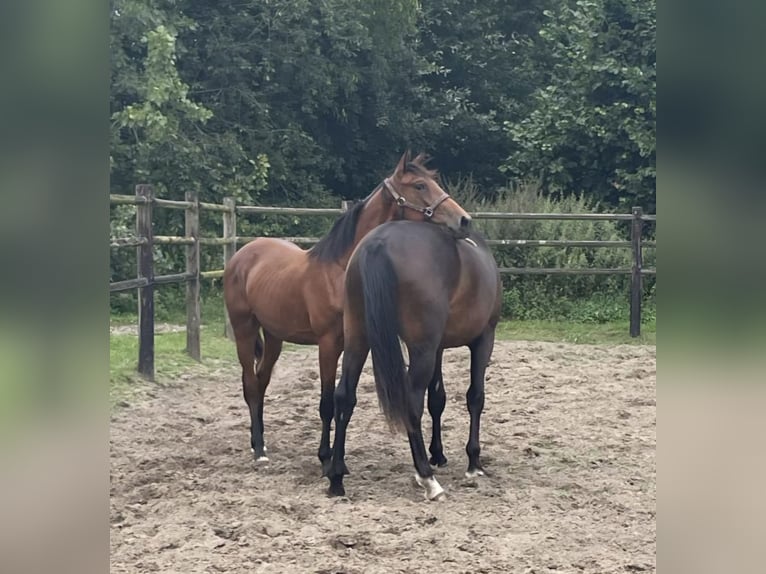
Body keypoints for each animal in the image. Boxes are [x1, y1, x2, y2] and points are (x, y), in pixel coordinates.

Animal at [224, 150, 474, 476]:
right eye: (420, 185)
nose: (465, 220)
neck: (339, 270)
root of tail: (241, 255)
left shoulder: (357, 342)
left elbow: (344, 399)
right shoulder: (328, 344)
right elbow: (327, 402)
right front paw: (325, 457)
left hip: (275, 336)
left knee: (262, 380)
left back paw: (261, 442)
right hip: (244, 329)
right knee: (250, 384)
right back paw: (258, 450)